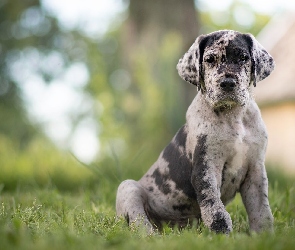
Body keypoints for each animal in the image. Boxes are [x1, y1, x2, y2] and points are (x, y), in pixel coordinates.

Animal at [115, 29, 276, 234]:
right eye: (209, 59)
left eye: (243, 58)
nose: (228, 83)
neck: (233, 116)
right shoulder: (206, 168)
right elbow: (214, 207)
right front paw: (221, 234)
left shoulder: (255, 171)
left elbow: (261, 210)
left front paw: (265, 235)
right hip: (128, 188)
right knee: (139, 222)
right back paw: (152, 236)